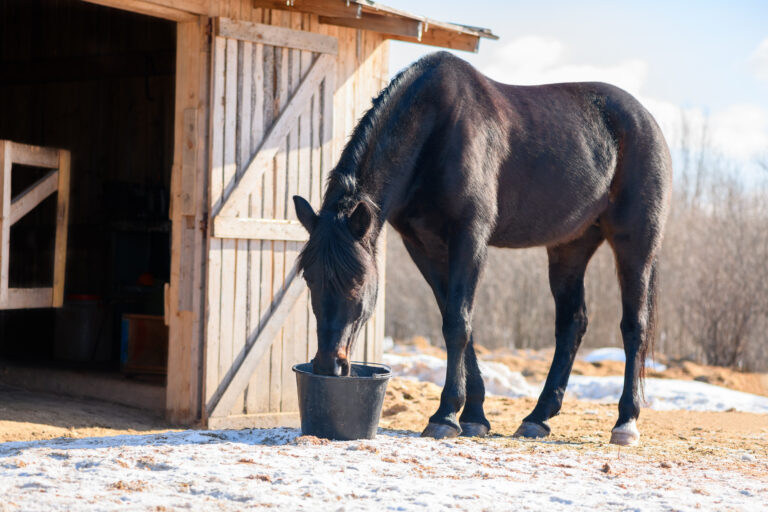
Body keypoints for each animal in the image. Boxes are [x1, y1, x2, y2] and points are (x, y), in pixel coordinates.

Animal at [294, 53, 672, 444]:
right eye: (309, 278)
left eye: (357, 281)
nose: (328, 365)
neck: (436, 129)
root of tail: (646, 120)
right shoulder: (424, 247)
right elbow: (459, 322)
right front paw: (473, 415)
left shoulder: (470, 237)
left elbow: (457, 323)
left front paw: (445, 416)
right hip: (570, 247)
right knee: (572, 322)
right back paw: (538, 417)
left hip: (635, 243)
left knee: (634, 325)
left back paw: (625, 422)